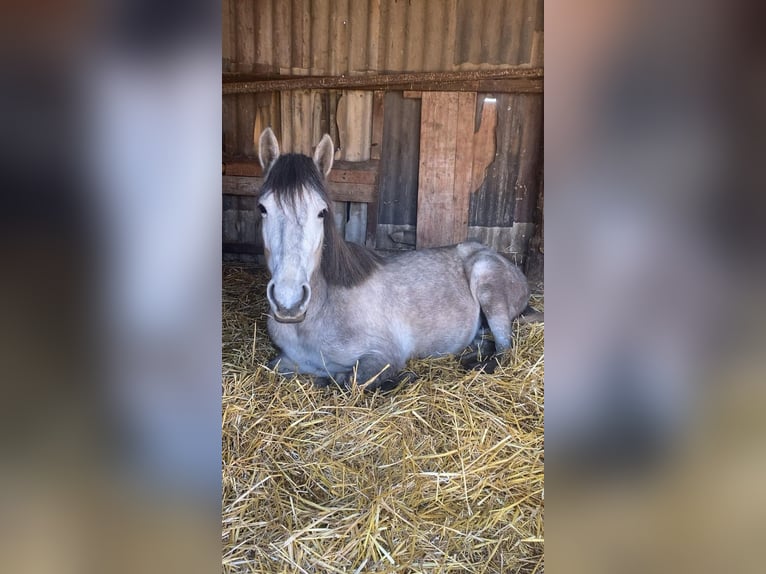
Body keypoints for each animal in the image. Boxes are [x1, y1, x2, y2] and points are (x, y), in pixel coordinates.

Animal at [255, 129, 532, 392]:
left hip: (487, 282)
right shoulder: (285, 360)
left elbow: (350, 380)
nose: (288, 301)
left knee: (504, 349)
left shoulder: (383, 356)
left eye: (321, 212)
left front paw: (401, 378)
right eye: (263, 208)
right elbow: (274, 366)